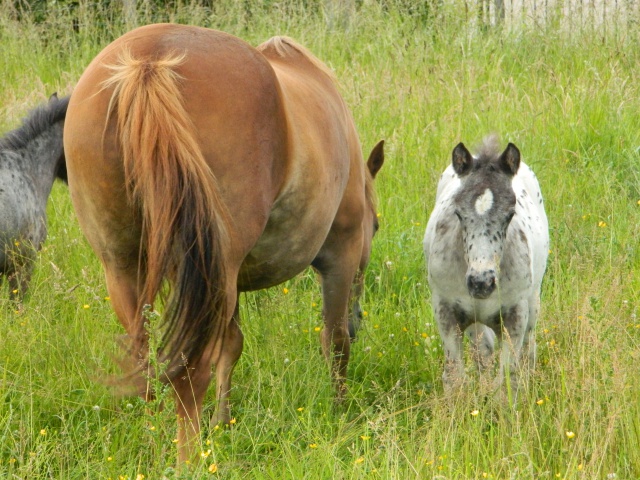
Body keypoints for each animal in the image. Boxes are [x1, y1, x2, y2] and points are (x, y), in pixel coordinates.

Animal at [64, 24, 382, 464]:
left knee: (147, 365)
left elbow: (231, 346)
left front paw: (223, 419)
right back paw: (189, 459)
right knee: (190, 373)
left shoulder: (226, 279)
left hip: (129, 271)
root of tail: (148, 61)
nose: (360, 318)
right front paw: (340, 410)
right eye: (376, 227)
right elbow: (335, 342)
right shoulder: (341, 254)